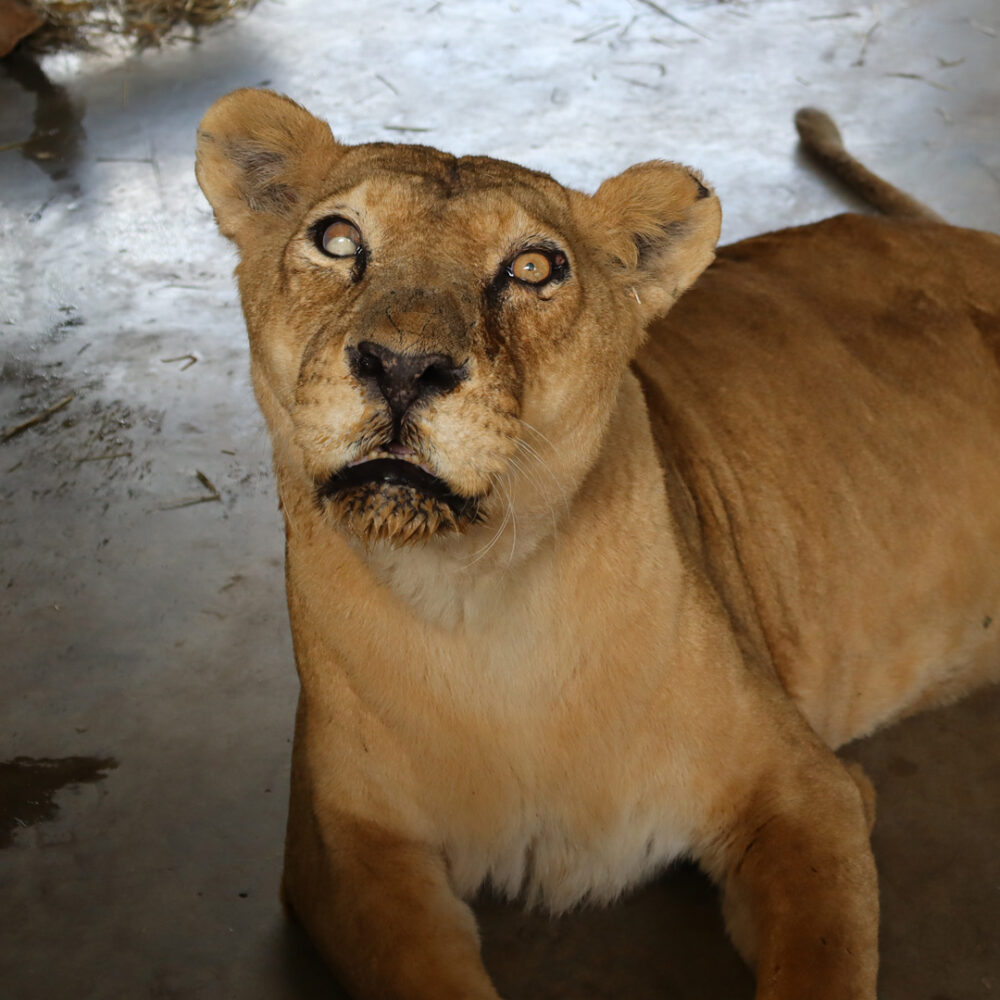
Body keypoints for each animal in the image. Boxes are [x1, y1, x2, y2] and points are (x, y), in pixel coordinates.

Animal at [195, 91, 1000, 999]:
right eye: (337, 239)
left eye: (533, 267)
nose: (402, 367)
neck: (478, 596)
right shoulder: (343, 858)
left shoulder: (811, 791)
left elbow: (820, 969)